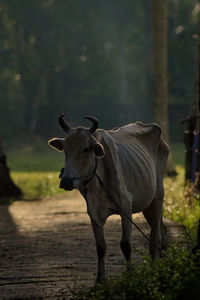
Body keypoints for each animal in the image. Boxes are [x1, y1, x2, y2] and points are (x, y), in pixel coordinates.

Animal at [48, 113, 169, 282]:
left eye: (86, 149)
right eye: (65, 148)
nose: (66, 180)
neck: (98, 182)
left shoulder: (126, 208)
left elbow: (126, 245)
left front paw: (130, 276)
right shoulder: (93, 213)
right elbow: (101, 247)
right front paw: (99, 280)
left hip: (158, 197)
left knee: (156, 235)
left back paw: (156, 269)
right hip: (147, 205)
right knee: (154, 233)